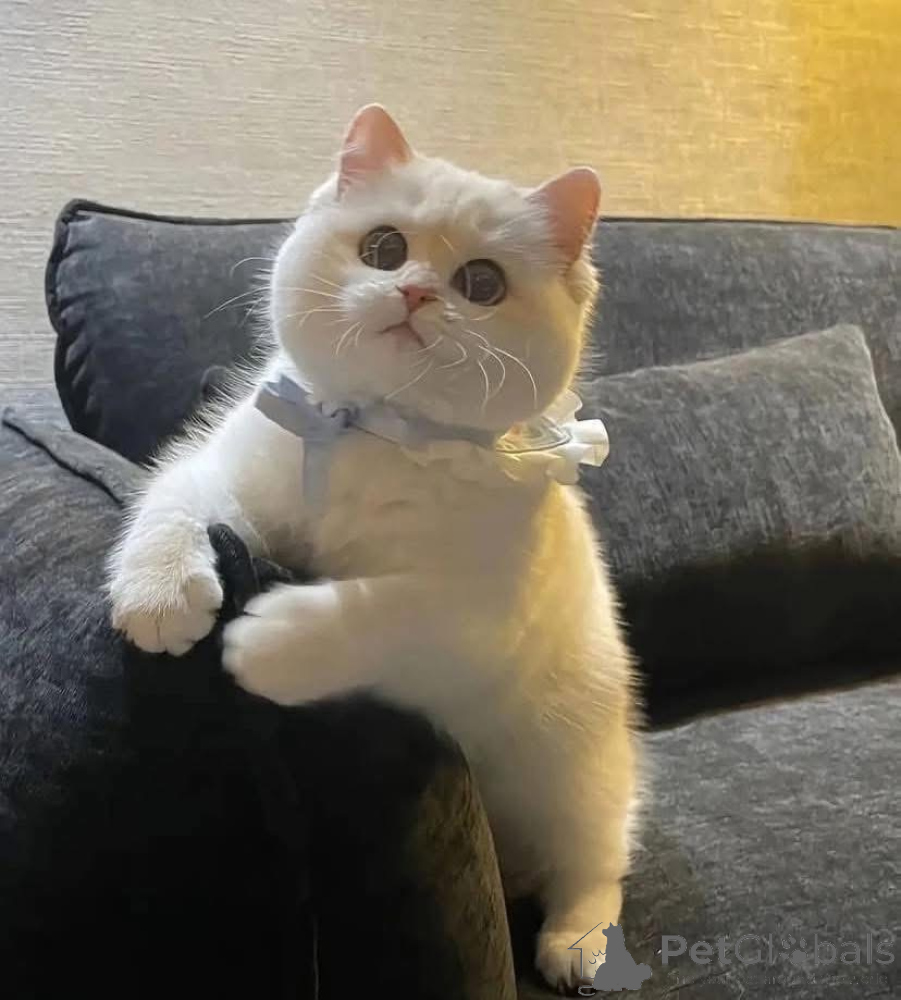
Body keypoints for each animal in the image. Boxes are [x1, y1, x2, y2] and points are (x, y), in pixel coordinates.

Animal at [107, 104, 641, 992]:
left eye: (482, 283)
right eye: (384, 248)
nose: (415, 290)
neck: (368, 434)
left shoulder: (478, 617)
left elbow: (379, 610)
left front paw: (271, 642)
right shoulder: (220, 466)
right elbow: (173, 502)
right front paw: (160, 595)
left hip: (575, 776)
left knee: (597, 863)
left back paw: (577, 943)